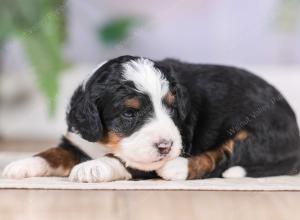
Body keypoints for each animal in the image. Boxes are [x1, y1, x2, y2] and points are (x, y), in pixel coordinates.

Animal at [2, 55, 300, 181]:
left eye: (171, 108)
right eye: (129, 113)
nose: (166, 146)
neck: (106, 141)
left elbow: (123, 160)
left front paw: (94, 167)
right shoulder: (77, 138)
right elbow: (52, 153)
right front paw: (22, 164)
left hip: (257, 132)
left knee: (225, 157)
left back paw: (177, 168)